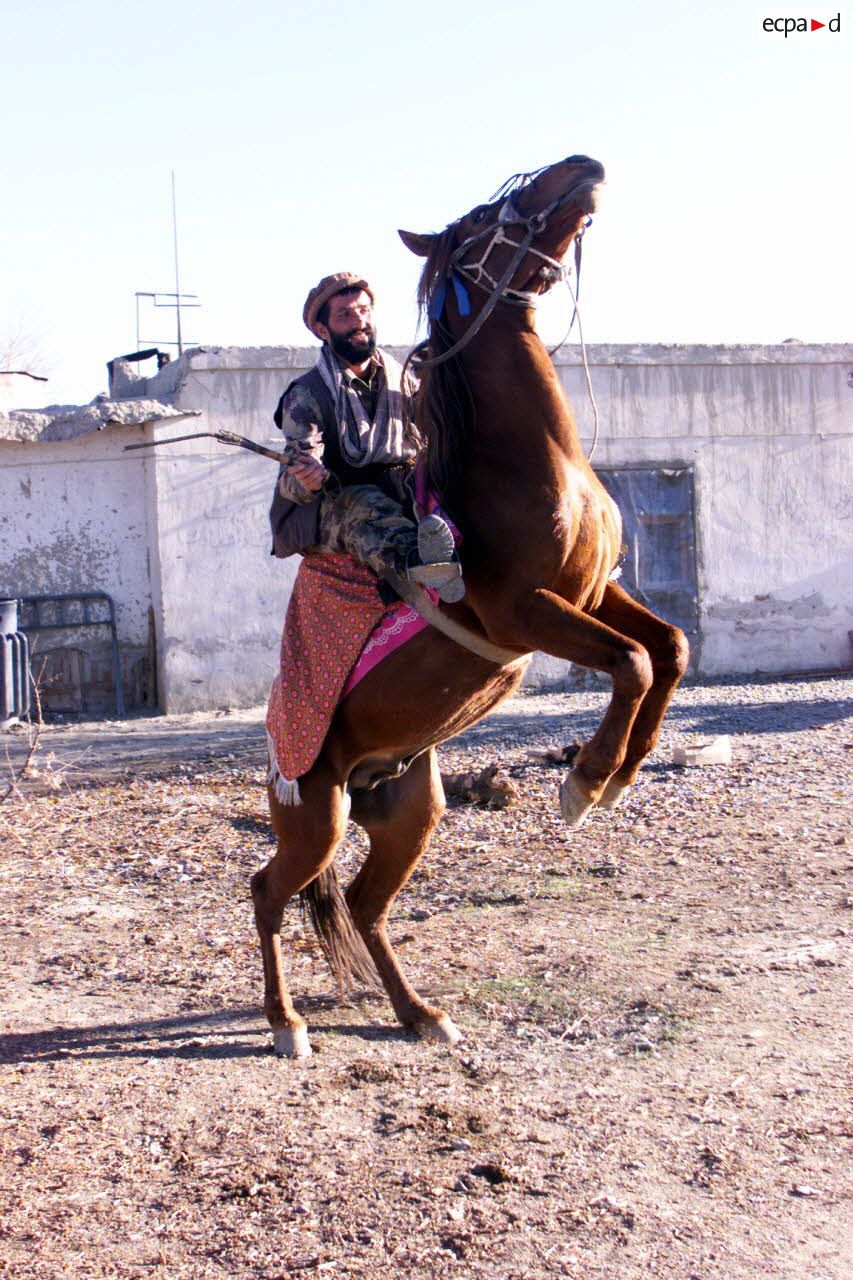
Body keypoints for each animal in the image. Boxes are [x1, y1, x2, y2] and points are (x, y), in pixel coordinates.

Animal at [251, 149, 686, 1054]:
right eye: (487, 218)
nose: (582, 165)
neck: (521, 464)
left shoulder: (596, 589)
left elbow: (666, 648)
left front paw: (621, 774)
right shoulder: (526, 611)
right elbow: (630, 661)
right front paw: (585, 782)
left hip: (407, 813)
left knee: (365, 908)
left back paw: (419, 1014)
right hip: (315, 817)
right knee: (269, 892)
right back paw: (287, 1024)